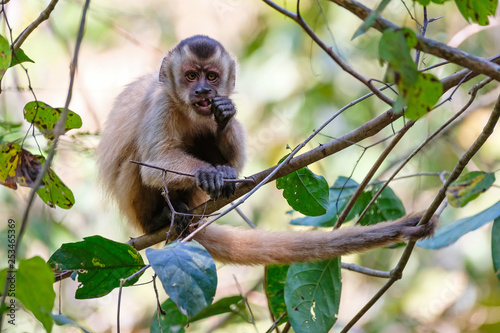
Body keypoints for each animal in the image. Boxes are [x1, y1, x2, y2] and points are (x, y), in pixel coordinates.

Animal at [95, 35, 436, 264]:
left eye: (212, 77)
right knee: (136, 164)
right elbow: (153, 164)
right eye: (191, 76)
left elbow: (234, 161)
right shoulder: (160, 104)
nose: (203, 91)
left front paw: (224, 126)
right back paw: (162, 218)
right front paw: (209, 173)